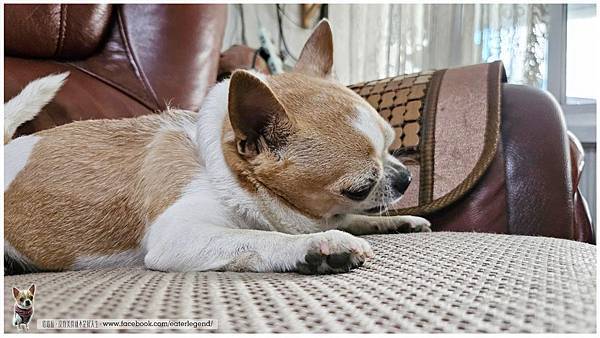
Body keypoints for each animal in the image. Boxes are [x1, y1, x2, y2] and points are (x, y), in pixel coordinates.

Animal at [4, 20, 428, 274]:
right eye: (360, 186)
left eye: (392, 145)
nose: (405, 178)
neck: (225, 170)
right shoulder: (178, 237)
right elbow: (261, 237)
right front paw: (317, 246)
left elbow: (350, 218)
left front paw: (398, 221)